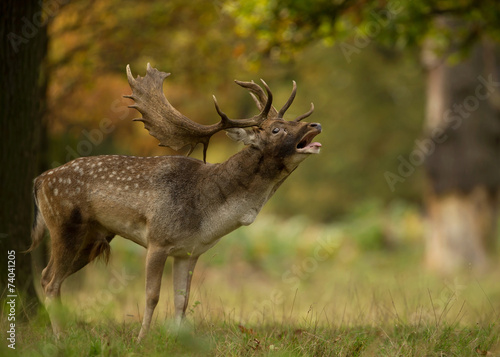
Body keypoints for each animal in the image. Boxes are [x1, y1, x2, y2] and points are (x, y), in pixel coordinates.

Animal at [29, 64, 322, 340]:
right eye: (276, 129)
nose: (315, 125)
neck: (206, 214)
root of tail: (39, 180)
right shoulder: (158, 239)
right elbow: (152, 296)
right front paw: (142, 339)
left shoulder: (188, 252)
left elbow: (182, 300)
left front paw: (178, 338)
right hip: (64, 225)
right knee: (50, 280)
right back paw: (59, 337)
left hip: (94, 237)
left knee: (47, 276)